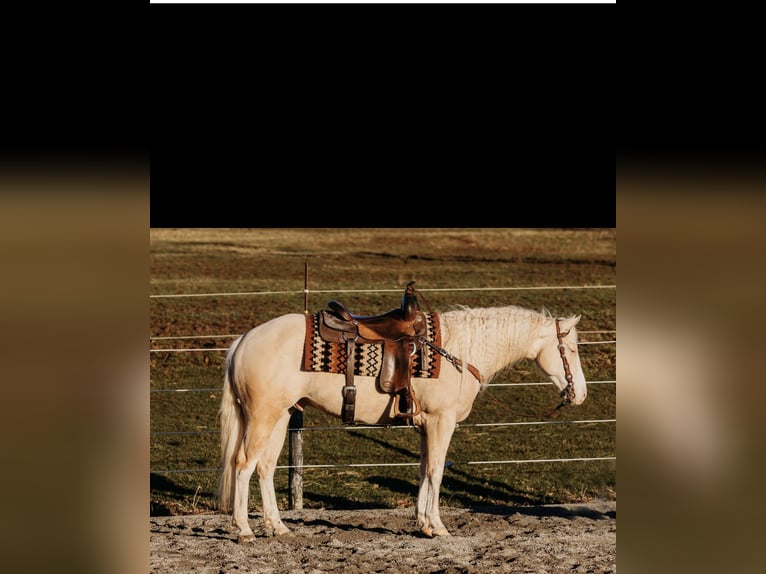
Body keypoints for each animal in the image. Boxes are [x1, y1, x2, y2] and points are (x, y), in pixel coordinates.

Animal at [217, 302, 588, 542]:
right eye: (570, 348)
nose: (580, 394)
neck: (458, 352)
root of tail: (243, 341)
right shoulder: (441, 422)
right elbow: (436, 471)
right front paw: (437, 526)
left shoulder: (428, 426)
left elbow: (424, 470)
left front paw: (423, 523)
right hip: (263, 417)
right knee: (243, 465)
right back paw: (244, 530)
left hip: (281, 417)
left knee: (264, 468)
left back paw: (277, 526)